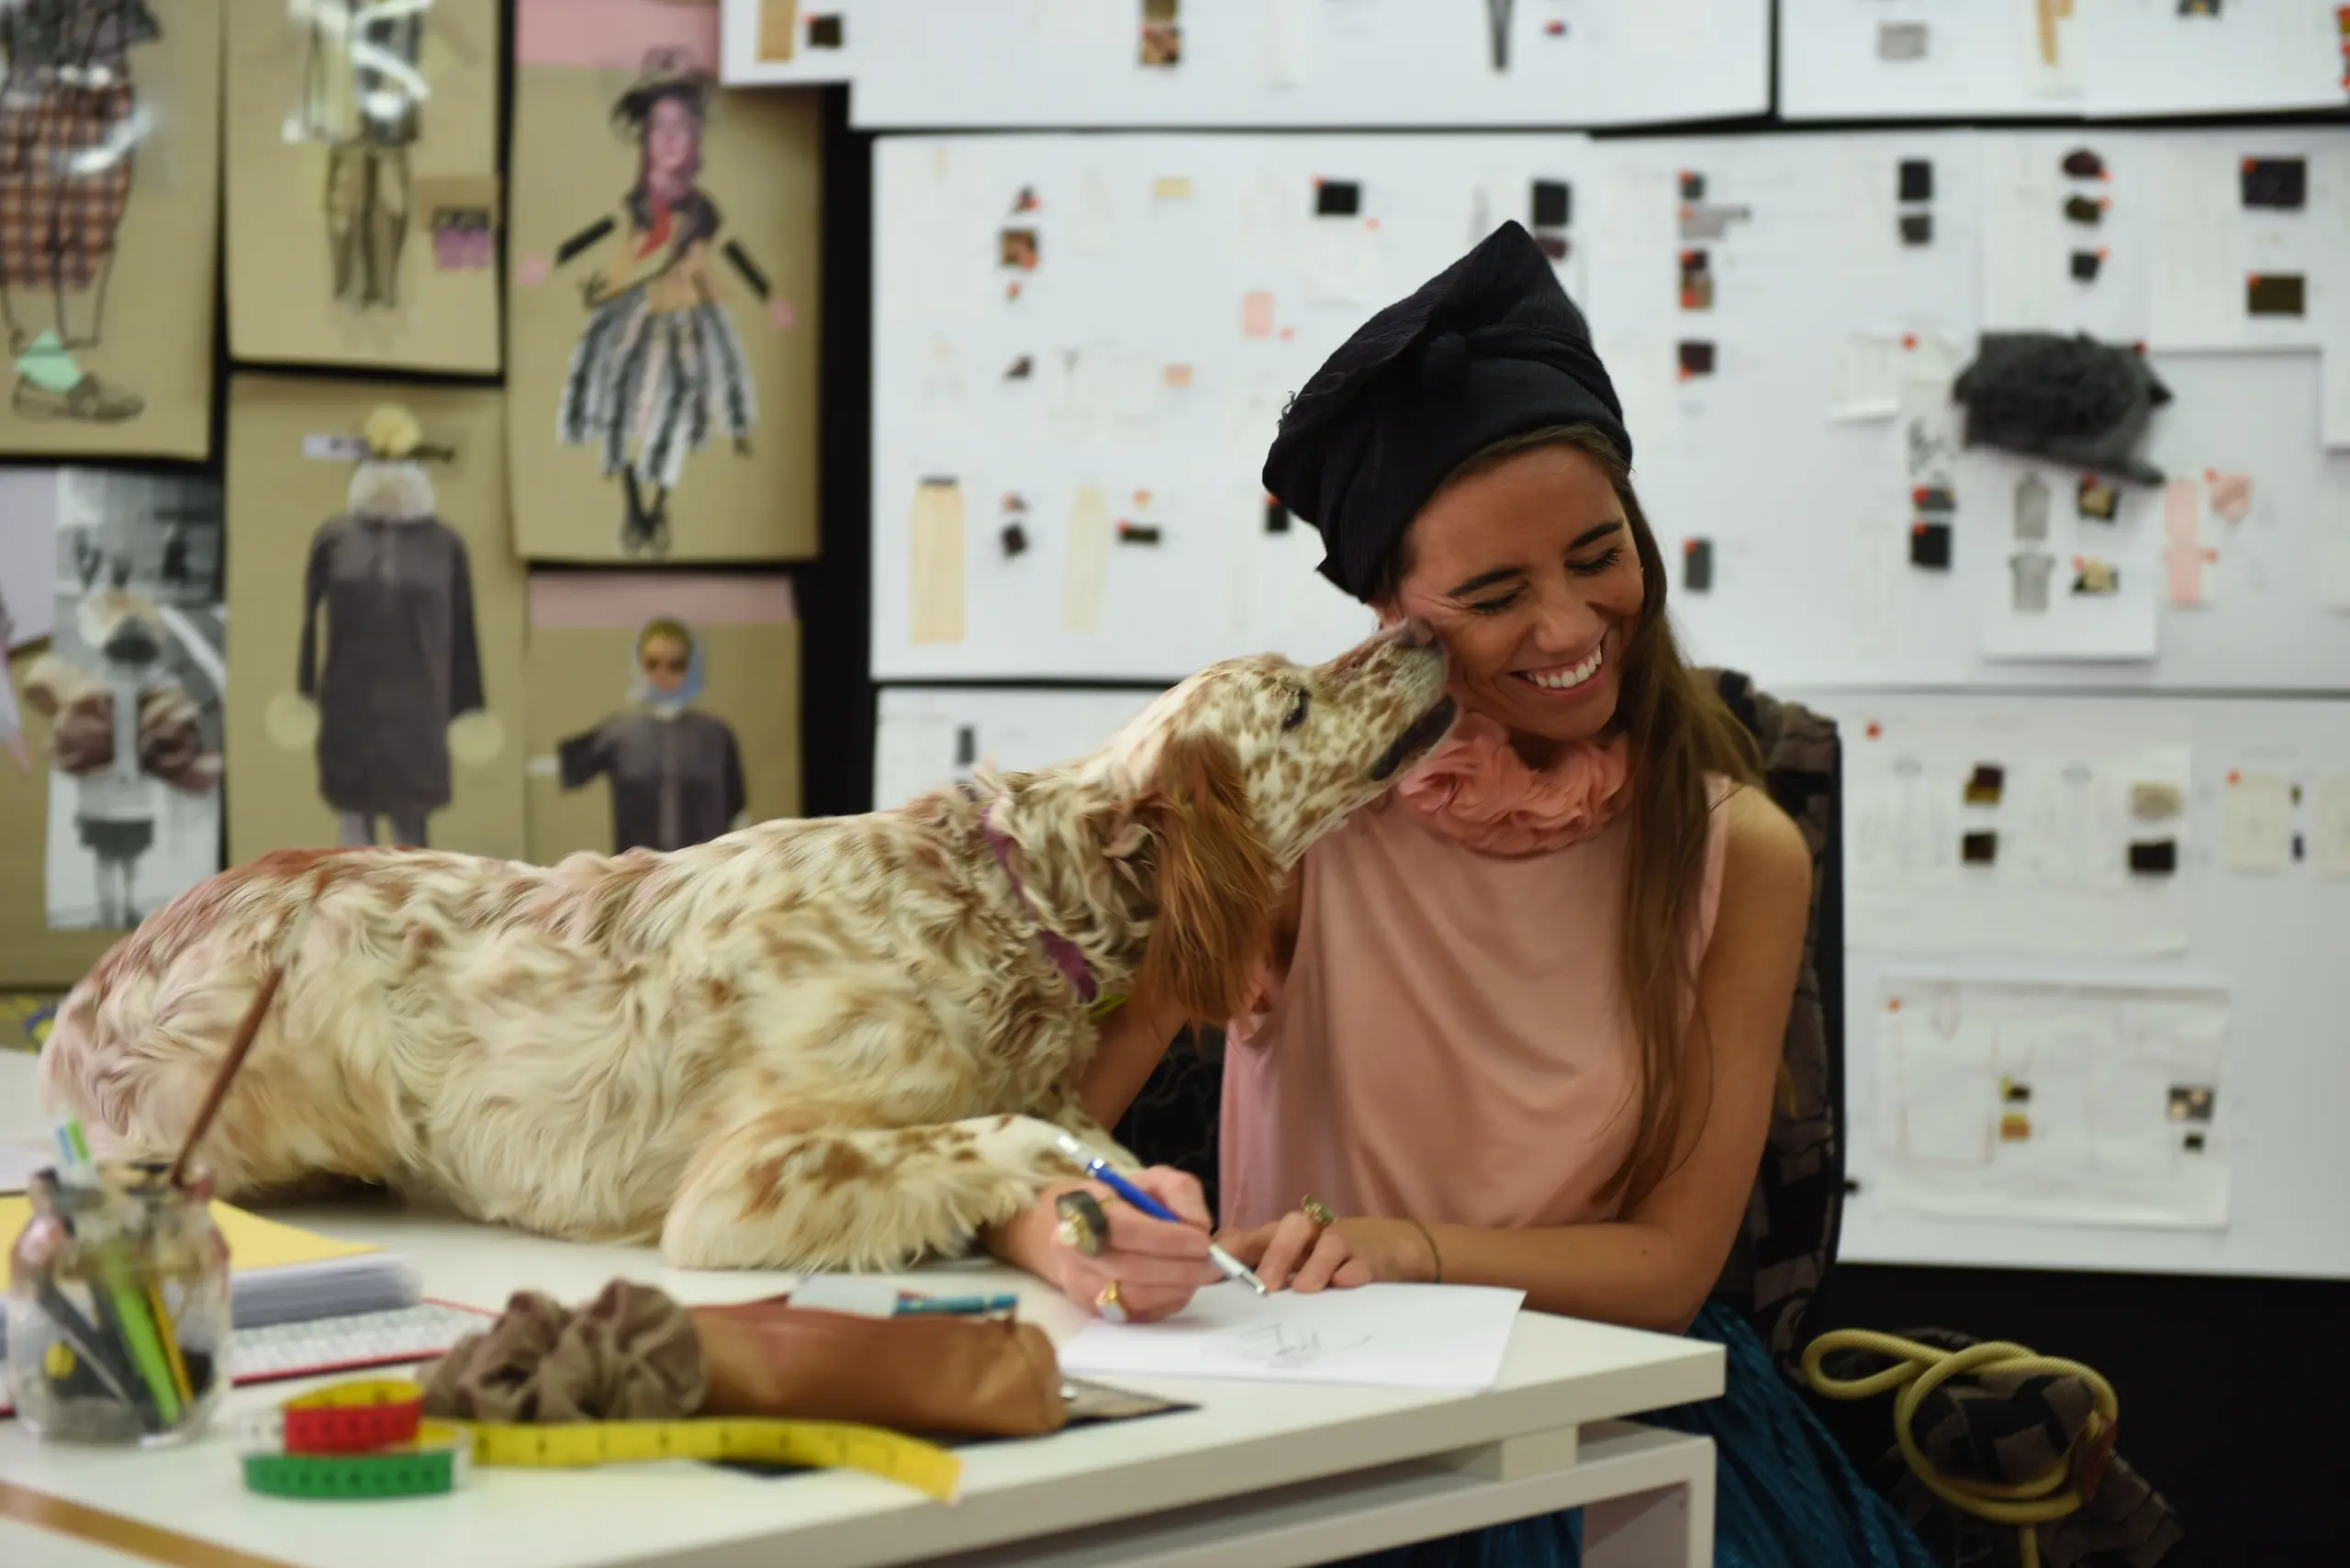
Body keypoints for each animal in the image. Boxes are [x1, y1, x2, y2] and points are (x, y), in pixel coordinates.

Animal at [41, 625, 1447, 1279]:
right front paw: (1068, 1168)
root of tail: (83, 999)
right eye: (1296, 701)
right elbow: (992, 1133)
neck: (999, 902)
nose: (1426, 629)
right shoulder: (737, 1184)